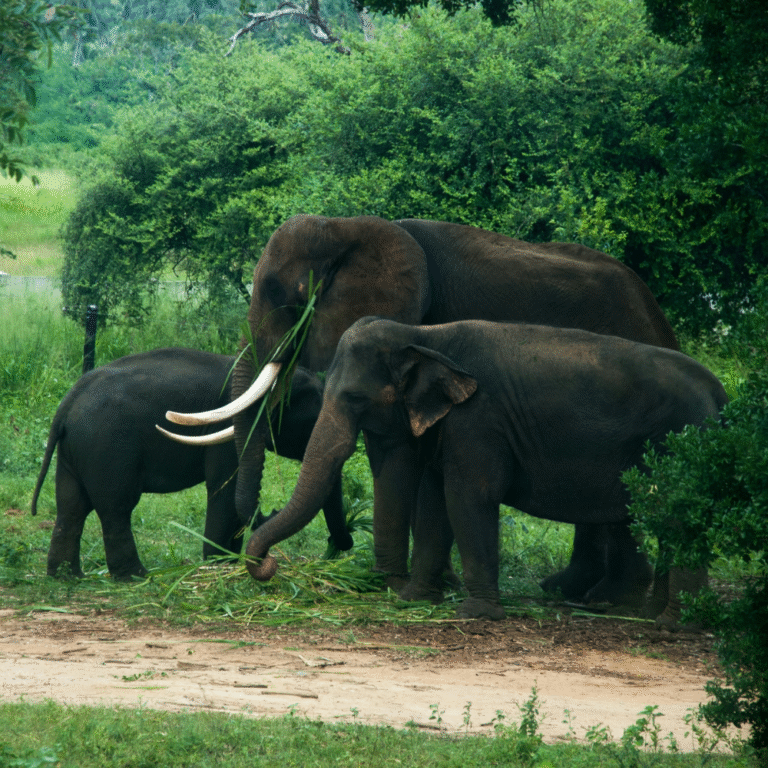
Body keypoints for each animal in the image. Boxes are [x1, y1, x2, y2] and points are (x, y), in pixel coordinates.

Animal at [30, 347, 351, 580]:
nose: (343, 544)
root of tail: (67, 404)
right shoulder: (226, 429)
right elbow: (224, 489)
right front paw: (219, 566)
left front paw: (229, 562)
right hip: (107, 447)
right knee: (116, 507)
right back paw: (138, 577)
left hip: (76, 449)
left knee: (72, 507)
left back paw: (67, 577)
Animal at [164, 215, 680, 605]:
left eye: (283, 294)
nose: (266, 561)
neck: (349, 227)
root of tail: (656, 313)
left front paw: (421, 584)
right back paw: (567, 589)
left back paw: (601, 598)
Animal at [244, 317, 728, 623]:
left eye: (355, 398)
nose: (268, 565)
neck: (424, 336)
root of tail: (719, 394)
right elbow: (436, 501)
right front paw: (413, 600)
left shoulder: (478, 420)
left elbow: (468, 497)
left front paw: (474, 615)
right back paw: (646, 614)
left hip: (679, 441)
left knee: (679, 522)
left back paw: (671, 624)